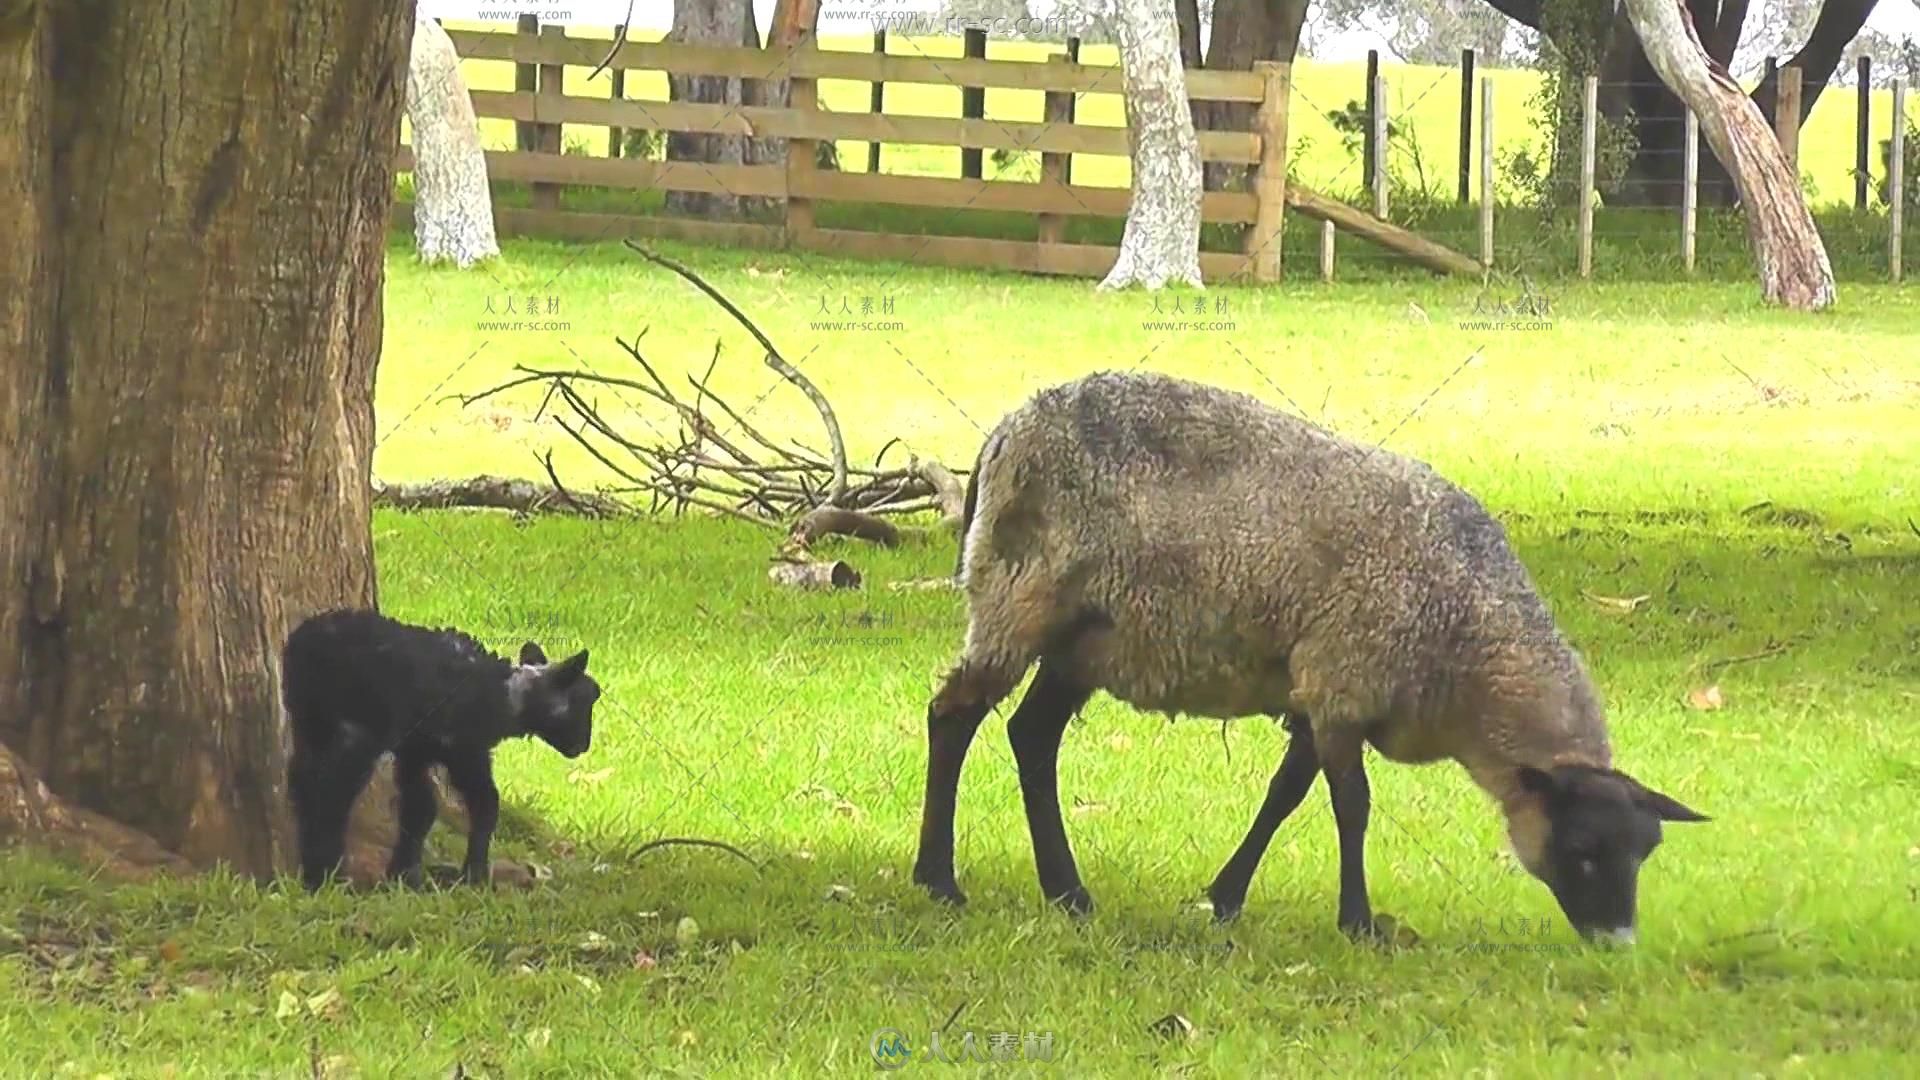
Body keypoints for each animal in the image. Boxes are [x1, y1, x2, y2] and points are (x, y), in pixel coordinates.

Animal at [280, 607, 599, 891]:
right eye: (584, 700)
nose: (584, 746)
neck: (506, 697)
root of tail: (307, 644)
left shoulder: (416, 751)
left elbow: (421, 807)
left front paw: (404, 876)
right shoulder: (466, 751)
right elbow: (486, 803)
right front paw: (474, 875)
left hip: (309, 719)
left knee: (302, 779)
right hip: (358, 729)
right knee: (331, 793)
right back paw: (325, 875)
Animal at [913, 368, 1712, 941]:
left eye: (1645, 852)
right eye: (1583, 850)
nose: (1618, 943)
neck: (1466, 635)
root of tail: (1001, 433)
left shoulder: (1317, 688)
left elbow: (1285, 795)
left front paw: (1225, 897)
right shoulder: (1343, 682)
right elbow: (1350, 807)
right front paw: (1357, 922)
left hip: (1087, 637)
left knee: (1031, 735)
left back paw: (1068, 892)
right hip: (1018, 600)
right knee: (953, 716)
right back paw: (939, 880)